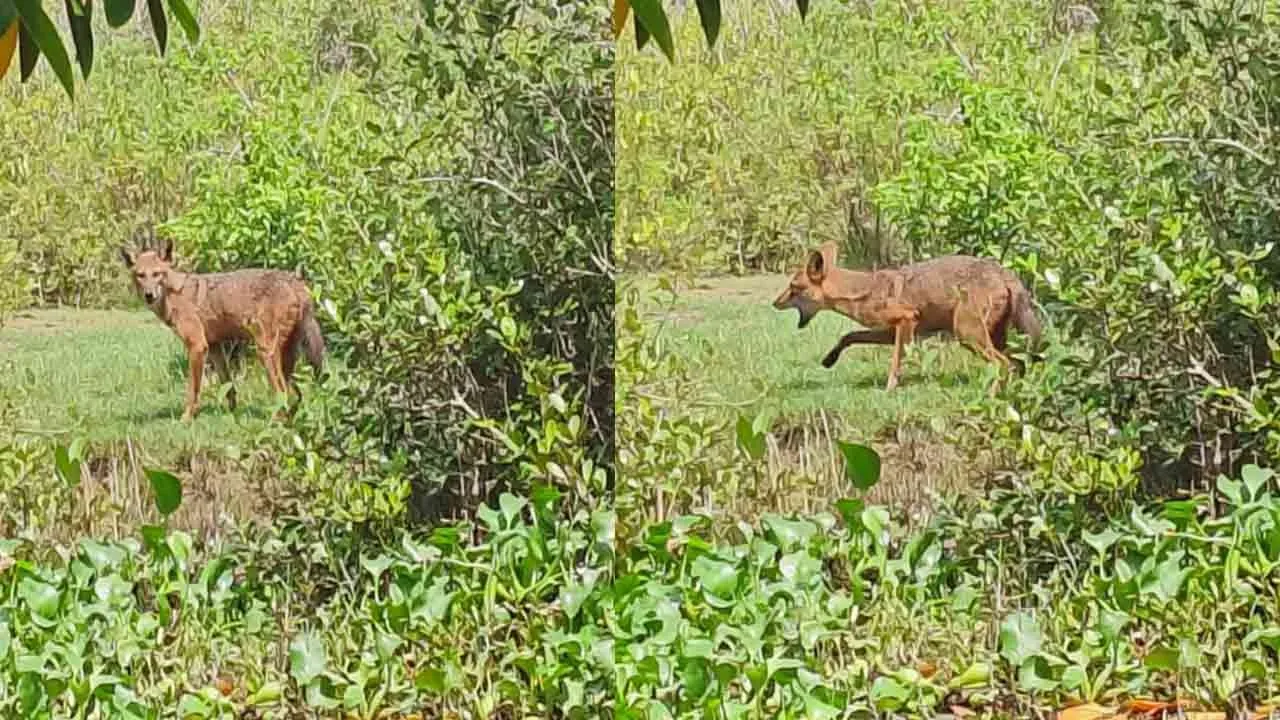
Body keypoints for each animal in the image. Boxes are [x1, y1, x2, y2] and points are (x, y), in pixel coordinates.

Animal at [120, 238, 325, 422]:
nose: (149, 295)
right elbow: (228, 387)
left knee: (282, 391)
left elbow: (193, 390)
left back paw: (276, 421)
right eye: (140, 275)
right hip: (286, 356)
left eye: (156, 274)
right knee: (293, 393)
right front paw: (232, 414)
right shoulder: (215, 348)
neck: (175, 294)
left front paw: (186, 418)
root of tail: (295, 280)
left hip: (265, 353)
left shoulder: (197, 347)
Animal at [773, 241, 1042, 393]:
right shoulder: (888, 331)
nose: (774, 303)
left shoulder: (906, 320)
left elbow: (894, 364)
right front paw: (830, 359)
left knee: (1005, 365)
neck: (863, 291)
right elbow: (848, 336)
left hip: (968, 335)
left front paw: (889, 390)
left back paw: (991, 397)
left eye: (793, 288)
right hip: (991, 338)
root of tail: (1004, 273)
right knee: (1018, 364)